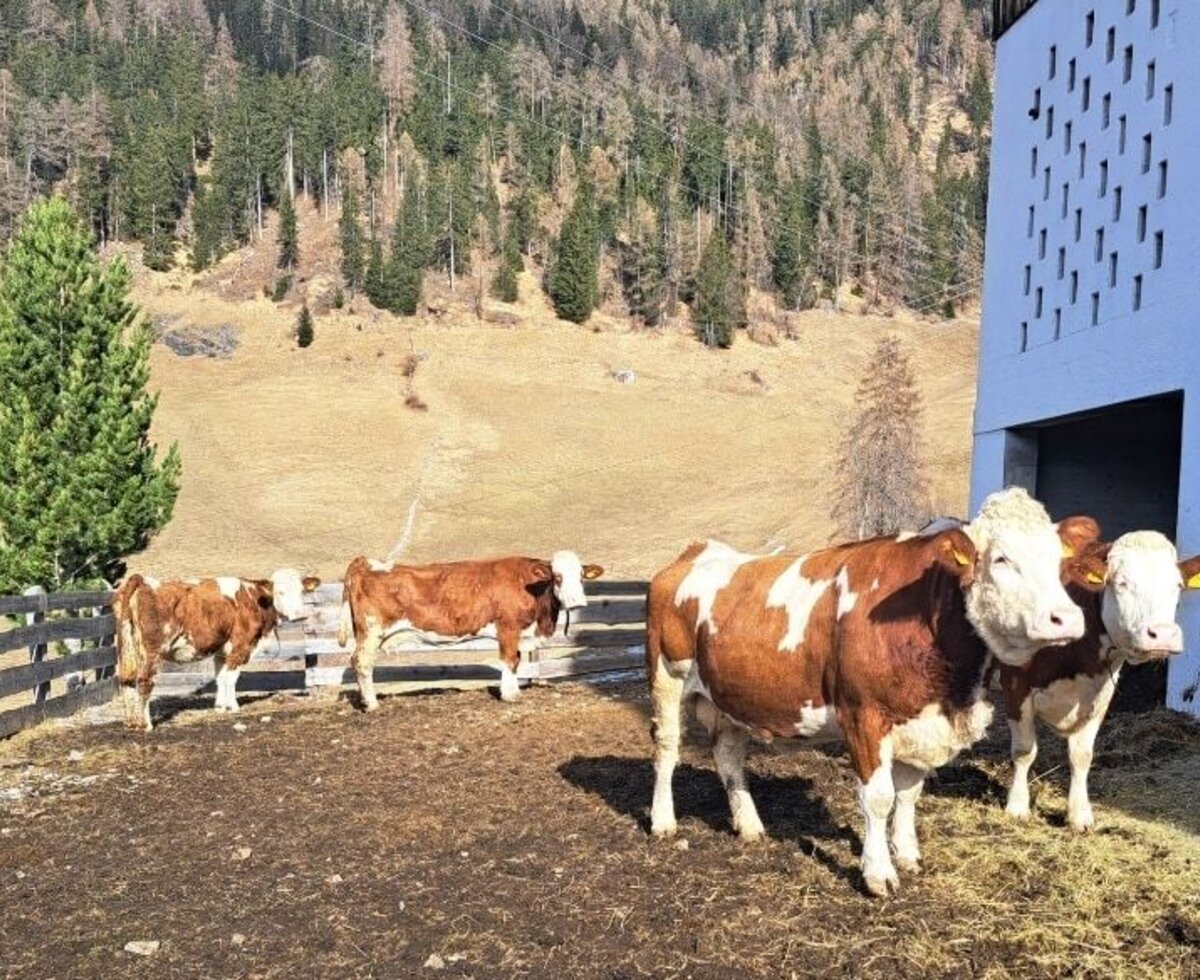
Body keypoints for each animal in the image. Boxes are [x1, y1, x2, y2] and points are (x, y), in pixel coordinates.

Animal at [113, 570, 320, 731]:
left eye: (301, 592)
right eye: (280, 592)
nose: (299, 615)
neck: (255, 600)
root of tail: (143, 580)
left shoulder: (221, 651)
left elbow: (220, 679)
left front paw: (220, 707)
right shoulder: (240, 647)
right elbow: (231, 679)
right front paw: (233, 707)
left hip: (127, 647)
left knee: (126, 680)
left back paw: (131, 723)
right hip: (151, 652)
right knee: (144, 681)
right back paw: (146, 725)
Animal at [336, 551, 604, 709]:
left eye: (581, 576)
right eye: (557, 577)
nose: (578, 602)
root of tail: (366, 562)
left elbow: (516, 661)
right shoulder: (508, 627)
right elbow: (509, 660)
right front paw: (510, 695)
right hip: (371, 631)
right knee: (361, 662)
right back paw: (371, 703)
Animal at [645, 487, 1096, 897]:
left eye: (1059, 561)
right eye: (1001, 558)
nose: (1067, 618)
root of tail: (696, 551)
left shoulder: (921, 720)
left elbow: (909, 794)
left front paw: (908, 854)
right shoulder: (864, 716)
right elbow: (878, 798)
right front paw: (878, 873)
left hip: (731, 696)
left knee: (728, 756)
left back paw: (750, 825)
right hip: (667, 676)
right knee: (667, 749)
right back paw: (663, 820)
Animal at [998, 530, 1200, 832]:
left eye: (1177, 585)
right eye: (1121, 582)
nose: (1162, 635)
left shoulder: (1098, 695)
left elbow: (1082, 756)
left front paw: (1079, 815)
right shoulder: (1016, 686)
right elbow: (1024, 751)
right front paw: (1017, 807)